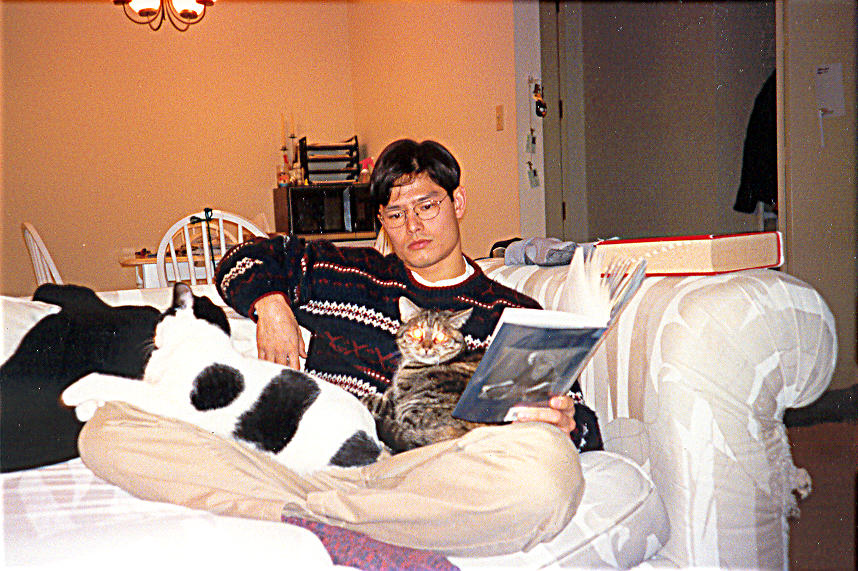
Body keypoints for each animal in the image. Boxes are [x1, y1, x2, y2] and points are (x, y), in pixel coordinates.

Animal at [62, 282, 383, 474]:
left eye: (162, 318)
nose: (155, 335)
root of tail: (375, 439)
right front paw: (85, 408)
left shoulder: (164, 396)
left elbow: (108, 380)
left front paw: (73, 394)